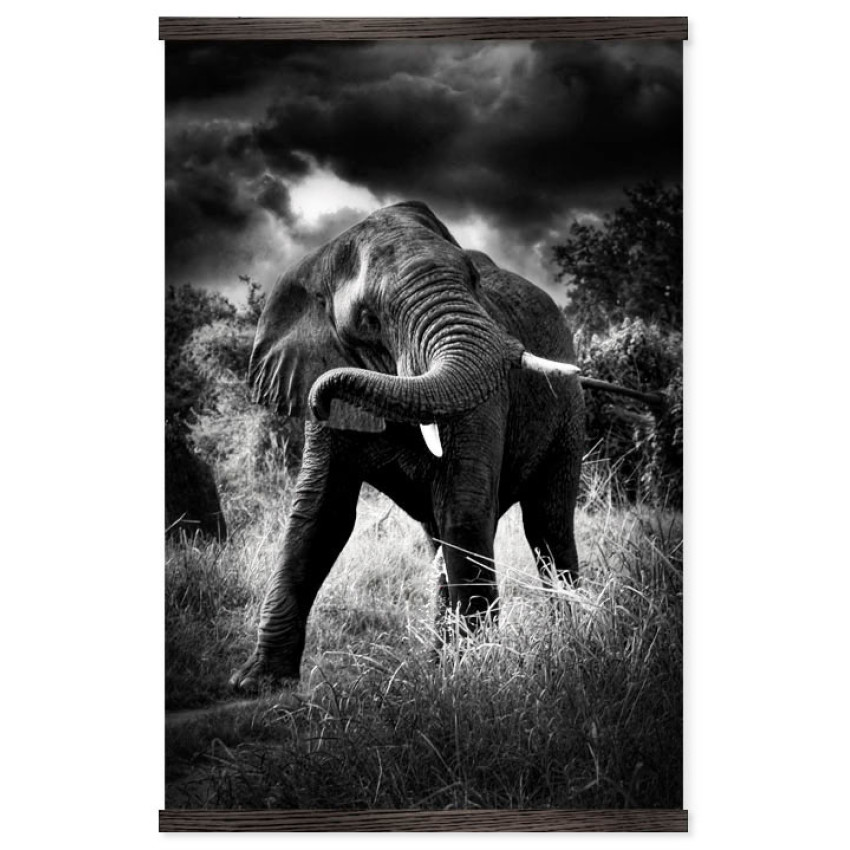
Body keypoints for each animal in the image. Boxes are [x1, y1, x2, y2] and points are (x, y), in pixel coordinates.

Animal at [230, 200, 586, 691]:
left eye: (474, 281)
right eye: (368, 320)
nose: (320, 397)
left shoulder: (487, 398)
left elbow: (465, 509)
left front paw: (475, 677)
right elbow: (320, 516)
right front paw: (257, 682)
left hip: (568, 418)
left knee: (547, 528)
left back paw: (569, 639)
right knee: (444, 539)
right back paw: (439, 662)